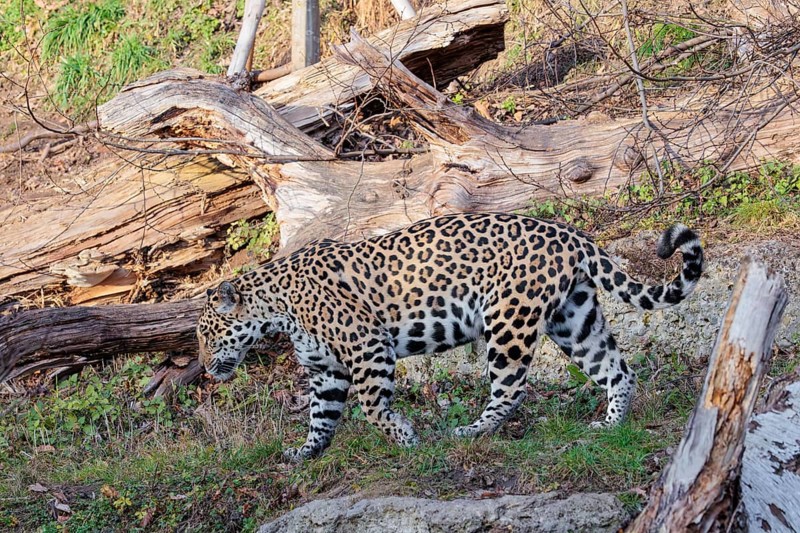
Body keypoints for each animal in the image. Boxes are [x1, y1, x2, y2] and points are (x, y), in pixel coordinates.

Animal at [197, 213, 703, 461]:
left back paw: (473, 430)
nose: (202, 367)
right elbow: (322, 417)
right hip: (573, 318)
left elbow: (372, 406)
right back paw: (612, 425)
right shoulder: (326, 371)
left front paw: (404, 438)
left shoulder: (368, 346)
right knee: (617, 369)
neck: (276, 308)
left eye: (205, 334)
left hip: (509, 319)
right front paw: (305, 453)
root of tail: (571, 233)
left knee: (512, 388)